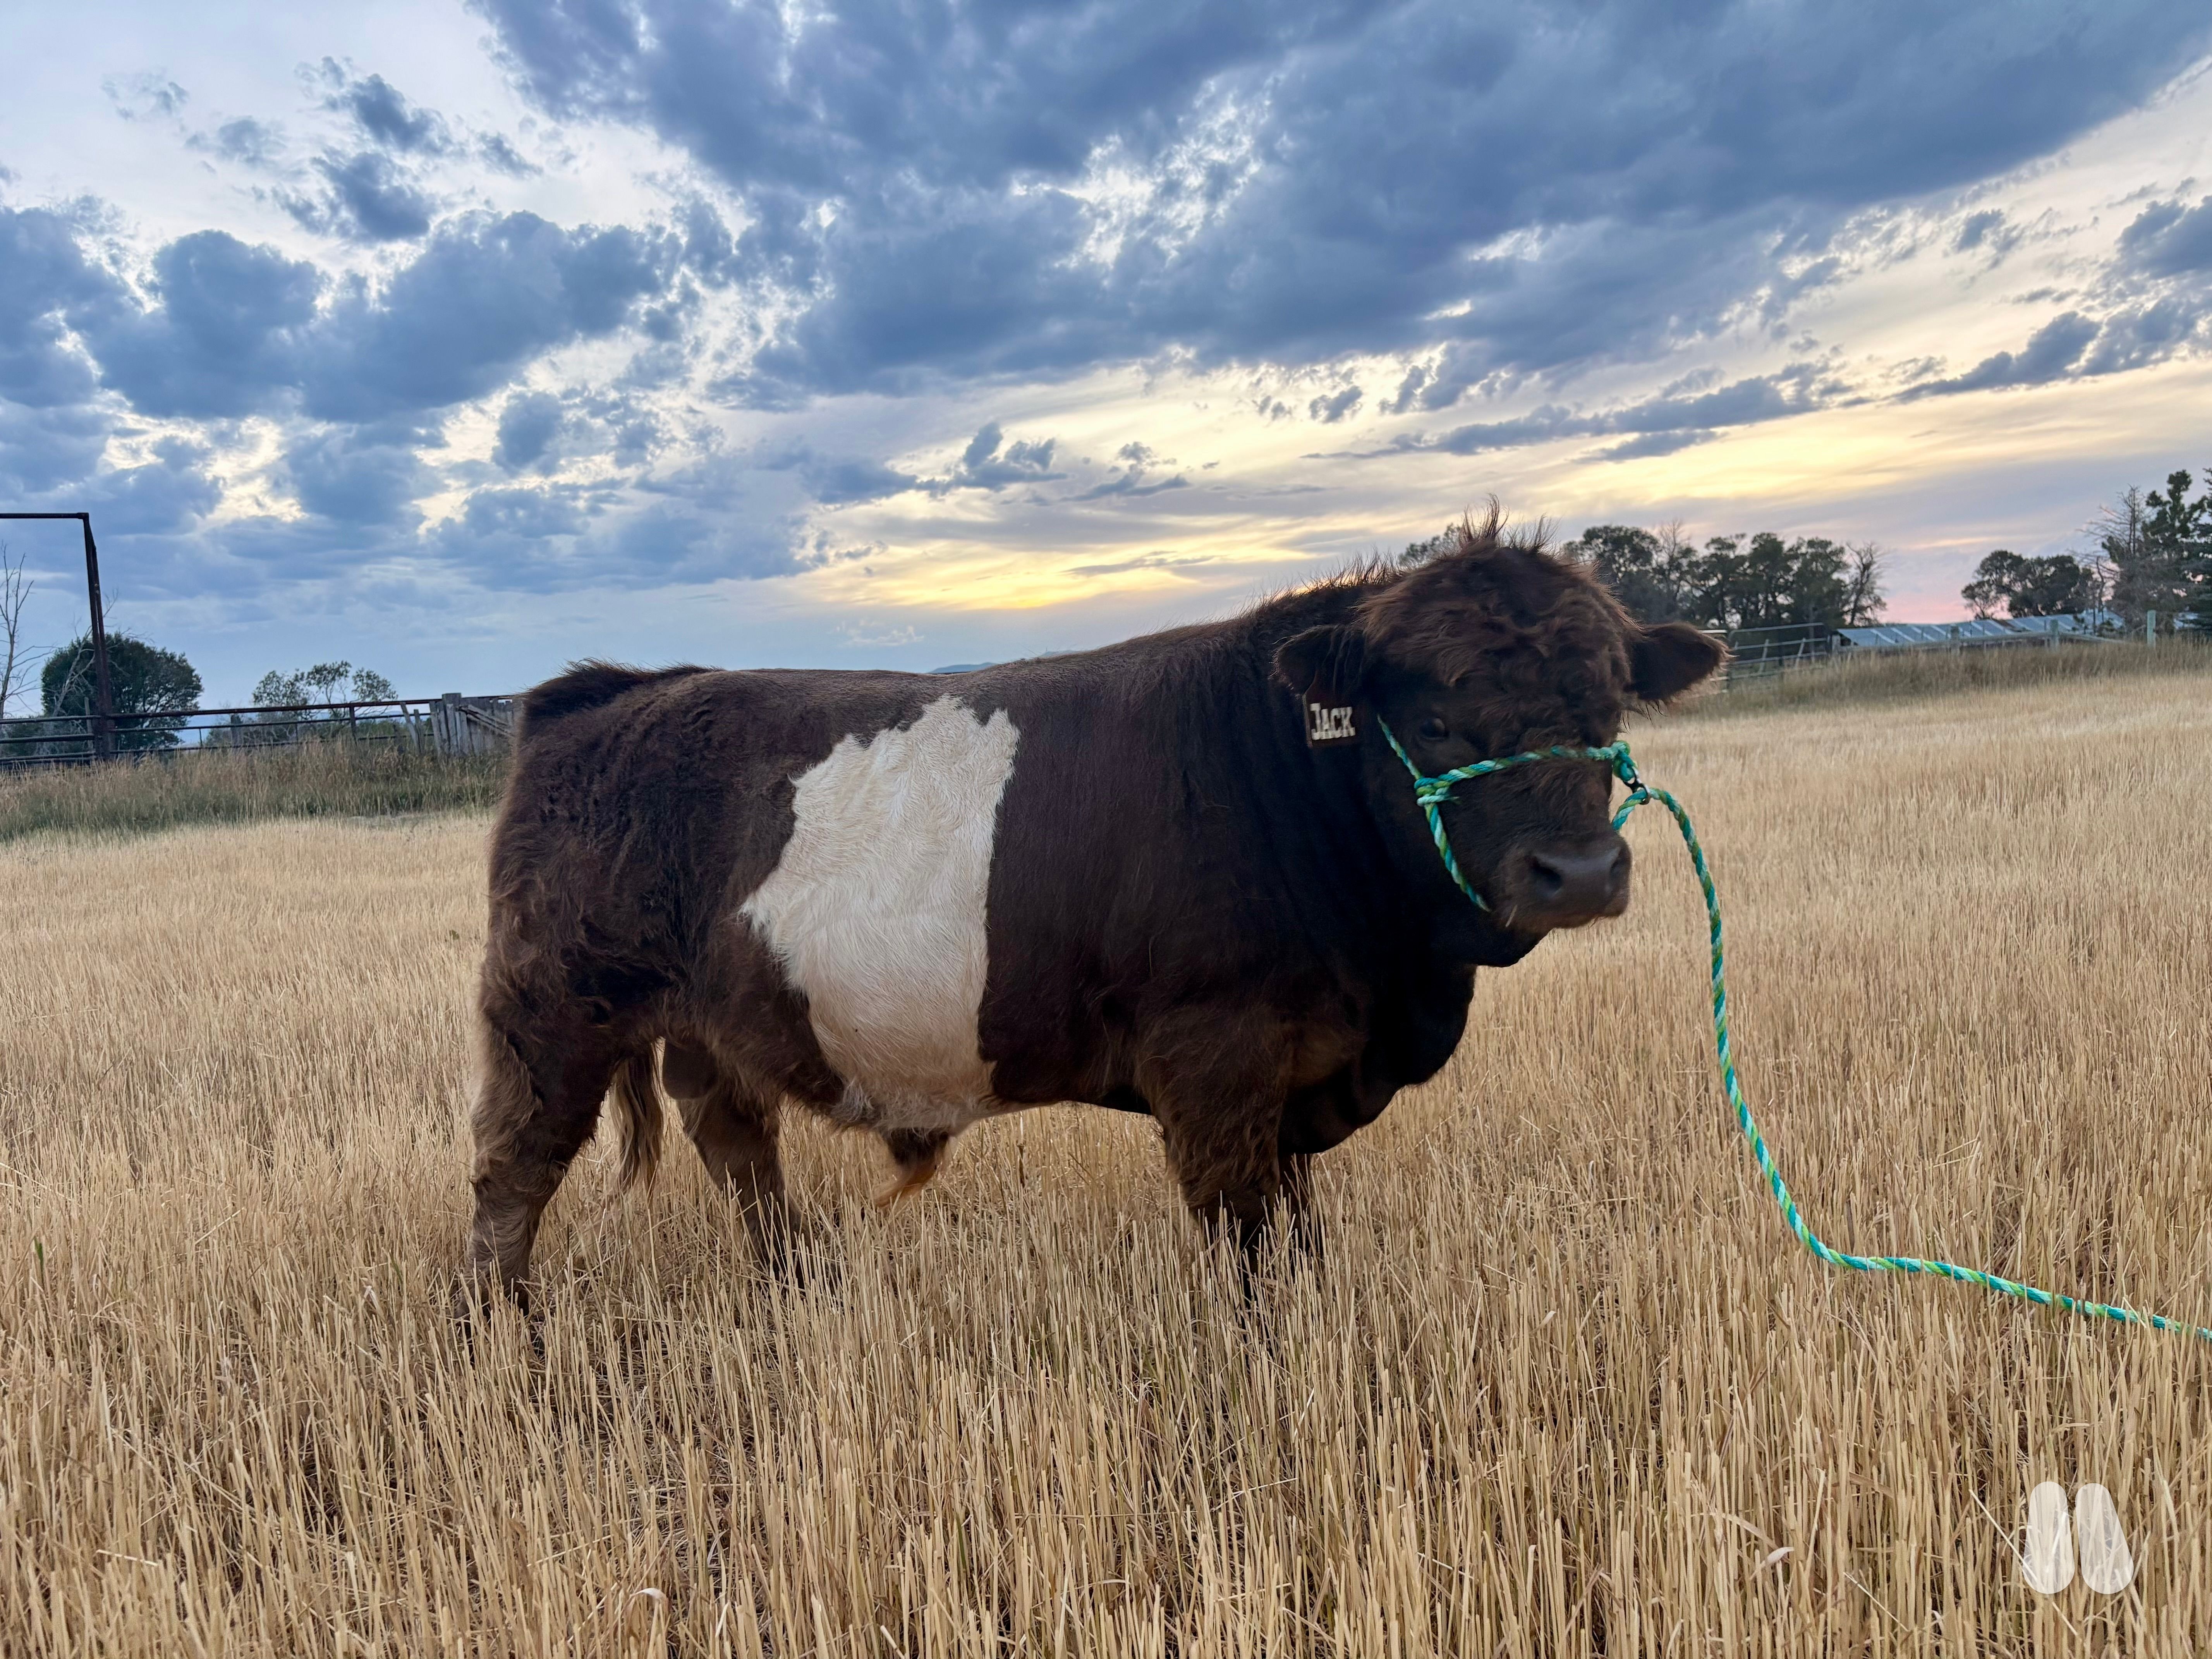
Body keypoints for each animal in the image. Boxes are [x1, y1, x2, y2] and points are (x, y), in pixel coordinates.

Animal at [461, 516, 1723, 1303]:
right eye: (1439, 719)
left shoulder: (1296, 1072)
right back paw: (505, 1338)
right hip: (552, 1011)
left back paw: (795, 1290)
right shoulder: (1215, 1057)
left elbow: (1297, 1235)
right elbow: (1246, 1245)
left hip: (712, 1022)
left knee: (737, 1147)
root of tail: (610, 695)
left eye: (1608, 703)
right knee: (512, 1171)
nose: (1578, 873)